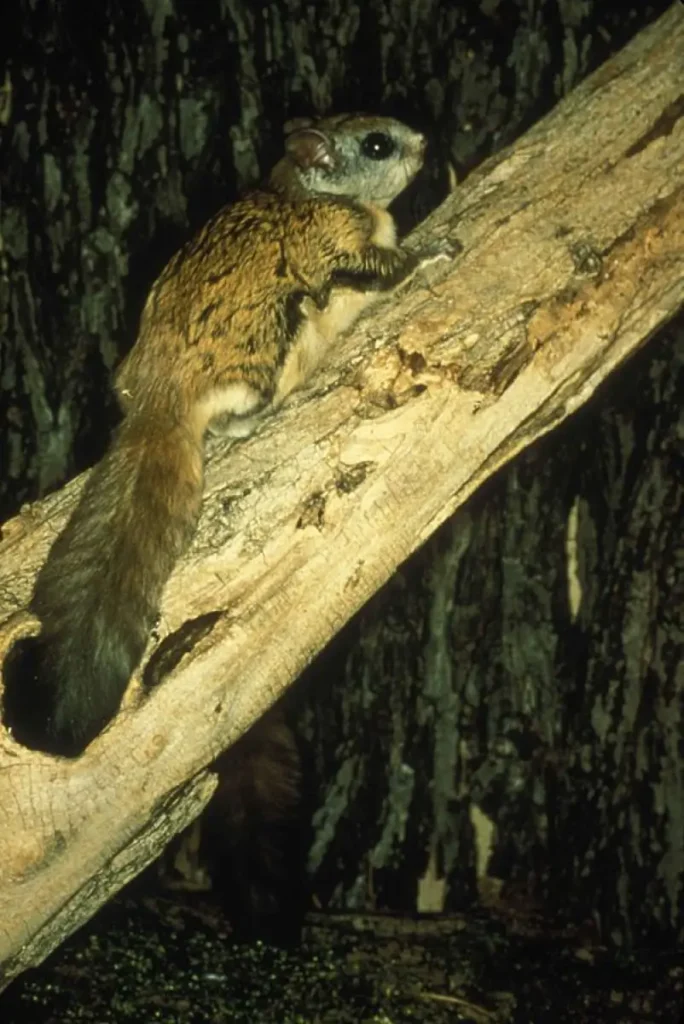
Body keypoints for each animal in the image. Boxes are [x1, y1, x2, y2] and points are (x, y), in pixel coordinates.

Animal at [20, 113, 433, 757]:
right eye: (377, 144)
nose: (425, 143)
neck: (307, 191)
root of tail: (159, 400)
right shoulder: (341, 244)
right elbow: (385, 267)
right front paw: (434, 250)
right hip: (272, 337)